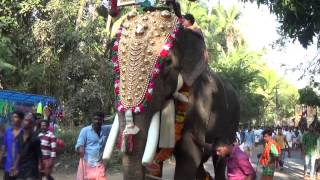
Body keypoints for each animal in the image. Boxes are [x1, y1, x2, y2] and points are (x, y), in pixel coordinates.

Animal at [103, 3, 240, 180]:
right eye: (115, 62)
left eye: (167, 62)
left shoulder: (201, 100)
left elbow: (189, 153)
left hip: (232, 121)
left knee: (220, 159)